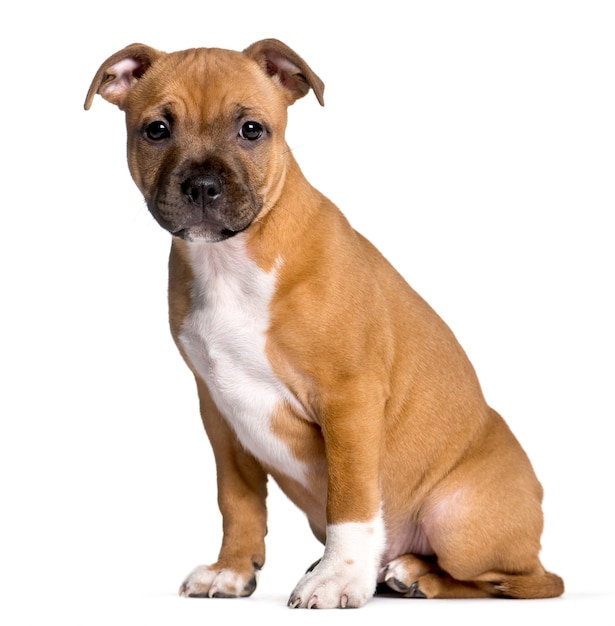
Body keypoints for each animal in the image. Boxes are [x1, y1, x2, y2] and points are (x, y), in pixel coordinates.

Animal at [84, 37, 564, 604]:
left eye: (252, 130)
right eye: (156, 130)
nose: (202, 186)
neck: (232, 262)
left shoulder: (348, 398)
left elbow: (350, 499)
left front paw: (338, 578)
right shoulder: (219, 411)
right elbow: (237, 499)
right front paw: (232, 570)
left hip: (458, 519)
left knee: (517, 582)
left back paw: (414, 574)